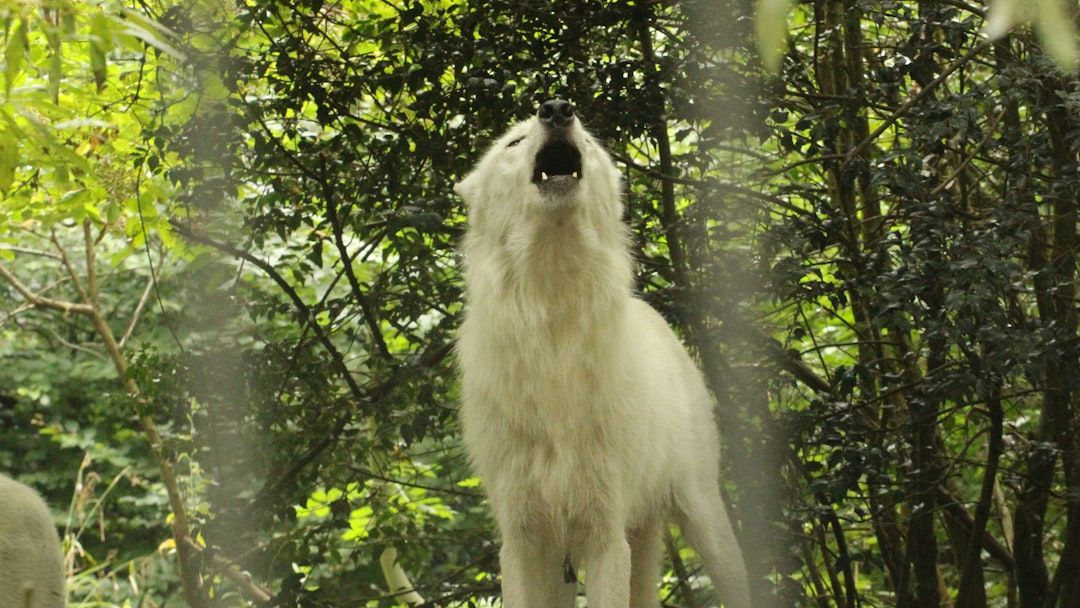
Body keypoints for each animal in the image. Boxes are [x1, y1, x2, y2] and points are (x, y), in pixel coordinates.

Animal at [455, 99, 752, 608]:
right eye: (514, 142)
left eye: (590, 143)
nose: (557, 108)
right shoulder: (521, 539)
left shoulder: (605, 535)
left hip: (702, 518)